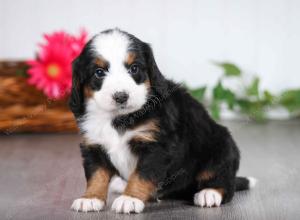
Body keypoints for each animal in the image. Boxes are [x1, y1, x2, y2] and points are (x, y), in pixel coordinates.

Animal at [68, 28, 255, 214]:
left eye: (134, 68)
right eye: (99, 72)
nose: (121, 96)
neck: (118, 118)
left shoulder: (156, 146)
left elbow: (141, 174)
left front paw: (130, 198)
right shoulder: (94, 145)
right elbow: (96, 175)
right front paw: (90, 198)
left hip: (222, 145)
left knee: (225, 183)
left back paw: (209, 193)